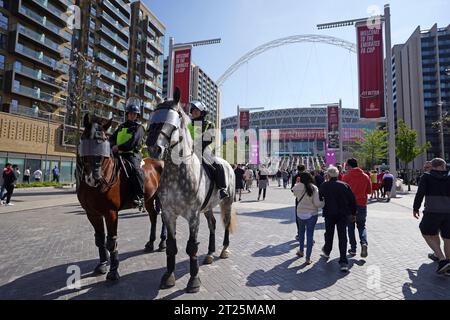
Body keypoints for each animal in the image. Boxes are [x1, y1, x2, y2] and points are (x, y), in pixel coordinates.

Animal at [77, 114, 165, 280]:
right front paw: (102, 264)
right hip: (149, 199)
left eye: (103, 141)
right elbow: (99, 239)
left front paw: (113, 271)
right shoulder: (92, 214)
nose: (93, 178)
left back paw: (163, 243)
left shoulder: (111, 213)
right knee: (153, 217)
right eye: (85, 139)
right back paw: (150, 243)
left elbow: (111, 241)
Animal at [146, 89, 237, 294]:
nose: (154, 148)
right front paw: (168, 276)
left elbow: (191, 247)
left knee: (226, 224)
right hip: (208, 207)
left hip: (227, 203)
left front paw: (194, 280)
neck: (177, 173)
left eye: (172, 121)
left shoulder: (193, 215)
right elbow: (171, 246)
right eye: (153, 119)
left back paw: (224, 250)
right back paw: (210, 253)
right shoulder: (168, 214)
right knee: (212, 225)